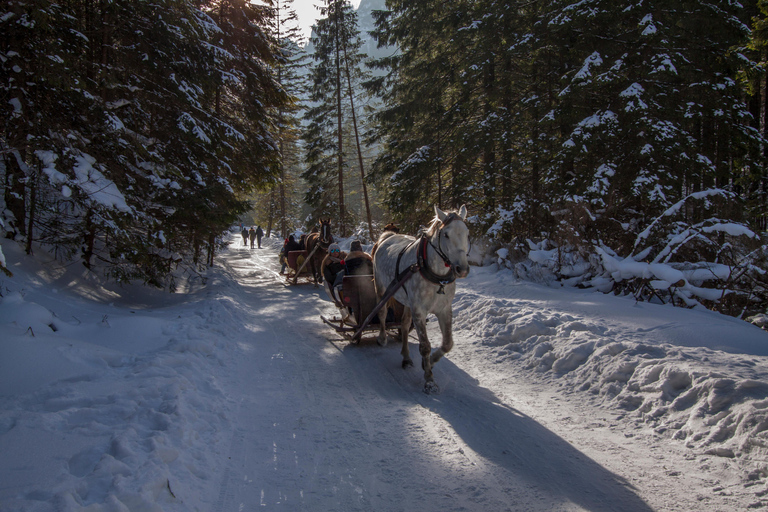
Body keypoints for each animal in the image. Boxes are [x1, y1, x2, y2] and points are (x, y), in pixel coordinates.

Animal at [376, 204, 472, 392]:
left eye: (467, 233)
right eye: (446, 234)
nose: (462, 269)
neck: (436, 276)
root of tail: (387, 237)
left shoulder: (444, 309)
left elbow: (447, 343)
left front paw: (431, 363)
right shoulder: (419, 311)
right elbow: (425, 346)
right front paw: (429, 379)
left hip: (407, 301)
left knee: (405, 324)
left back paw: (406, 357)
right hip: (382, 289)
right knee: (382, 313)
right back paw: (382, 337)